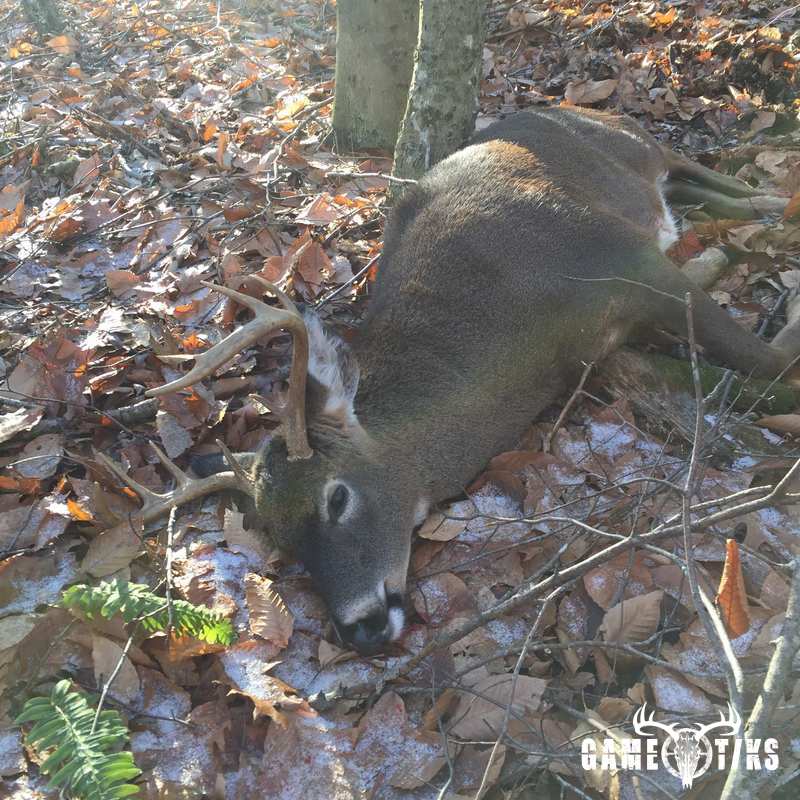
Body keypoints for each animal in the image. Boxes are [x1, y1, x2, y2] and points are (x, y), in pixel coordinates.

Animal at [97, 106, 799, 654]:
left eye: (335, 497)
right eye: (279, 541)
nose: (360, 629)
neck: (522, 335)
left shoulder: (626, 259)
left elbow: (768, 362)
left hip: (629, 143)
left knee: (689, 166)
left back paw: (771, 204)